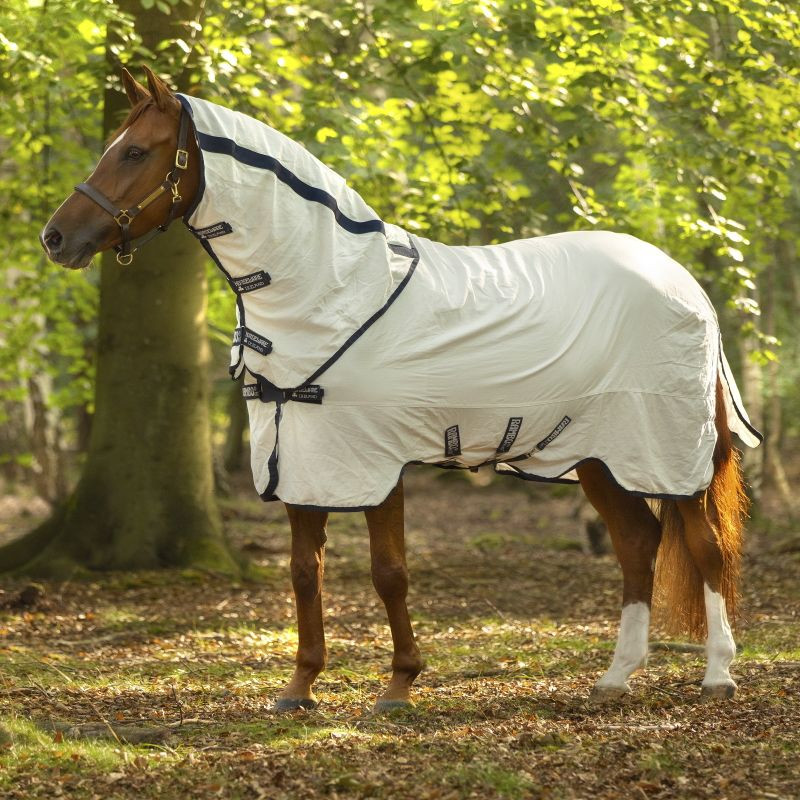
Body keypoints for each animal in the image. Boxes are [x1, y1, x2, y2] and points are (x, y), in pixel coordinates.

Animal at [41, 67, 761, 711]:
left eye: (136, 150)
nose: (56, 237)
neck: (332, 289)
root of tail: (685, 283)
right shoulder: (302, 459)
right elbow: (305, 573)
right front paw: (300, 688)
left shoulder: (376, 459)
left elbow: (389, 573)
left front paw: (398, 687)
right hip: (599, 455)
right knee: (637, 545)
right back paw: (615, 678)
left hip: (670, 450)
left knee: (705, 547)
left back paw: (718, 675)